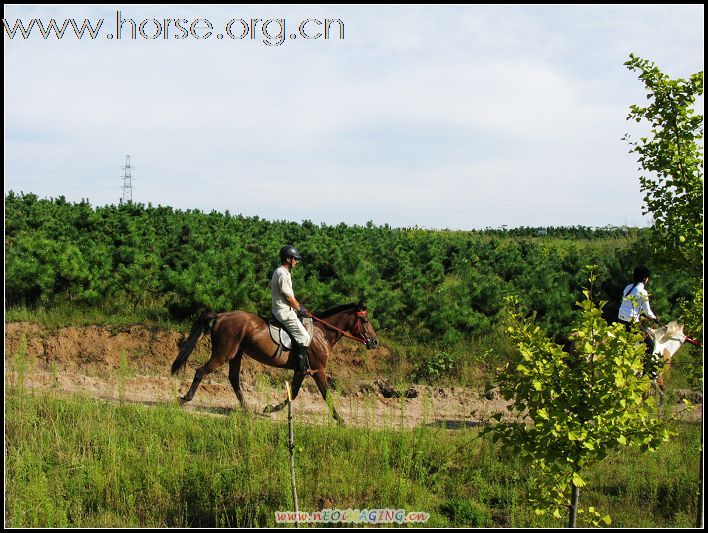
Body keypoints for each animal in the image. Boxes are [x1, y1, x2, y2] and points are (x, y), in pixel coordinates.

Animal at [171, 302, 378, 422]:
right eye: (365, 321)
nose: (375, 342)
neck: (322, 334)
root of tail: (221, 315)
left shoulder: (302, 370)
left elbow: (293, 393)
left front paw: (269, 408)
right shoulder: (318, 370)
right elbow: (325, 394)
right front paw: (340, 419)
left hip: (236, 354)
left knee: (234, 379)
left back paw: (246, 409)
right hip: (224, 353)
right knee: (201, 371)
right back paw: (185, 399)